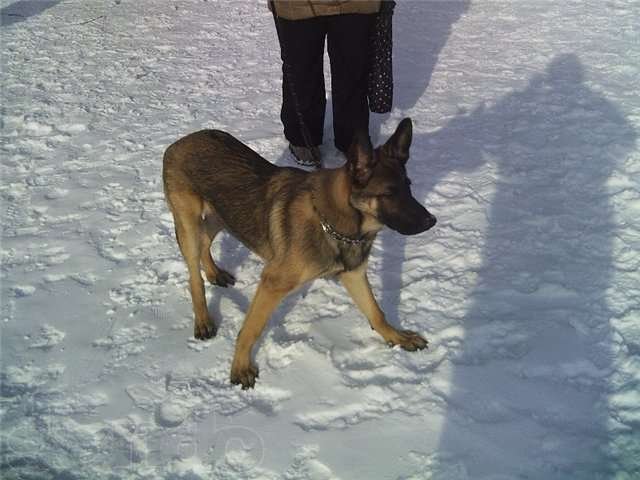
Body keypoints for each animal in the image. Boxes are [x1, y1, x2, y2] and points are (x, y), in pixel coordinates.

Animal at [162, 118, 438, 388]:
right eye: (389, 194)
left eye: (409, 187)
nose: (431, 221)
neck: (334, 222)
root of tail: (180, 142)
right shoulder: (272, 284)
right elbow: (251, 328)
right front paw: (240, 367)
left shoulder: (354, 275)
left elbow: (376, 312)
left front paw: (397, 337)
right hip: (190, 224)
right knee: (193, 276)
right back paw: (203, 319)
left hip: (223, 216)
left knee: (206, 241)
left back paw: (214, 273)